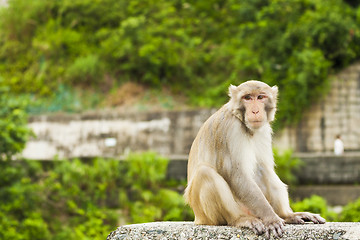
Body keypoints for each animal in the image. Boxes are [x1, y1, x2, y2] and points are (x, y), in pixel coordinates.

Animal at [184, 80, 324, 238]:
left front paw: (282, 215)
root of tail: (197, 218)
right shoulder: (230, 129)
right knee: (204, 173)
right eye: (247, 98)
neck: (242, 122)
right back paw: (240, 219)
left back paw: (286, 215)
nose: (255, 111)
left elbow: (262, 169)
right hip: (207, 215)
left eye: (260, 97)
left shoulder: (264, 130)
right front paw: (271, 218)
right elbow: (236, 174)